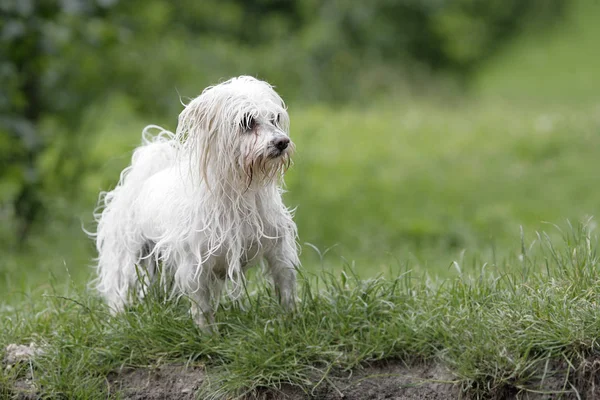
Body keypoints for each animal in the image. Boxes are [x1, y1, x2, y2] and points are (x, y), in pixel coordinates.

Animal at [92, 76, 300, 328]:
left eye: (275, 119)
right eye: (247, 122)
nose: (282, 142)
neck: (239, 192)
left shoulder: (278, 250)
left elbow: (286, 288)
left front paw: (291, 323)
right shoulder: (194, 266)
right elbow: (202, 309)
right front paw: (209, 336)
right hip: (127, 258)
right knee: (119, 292)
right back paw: (118, 321)